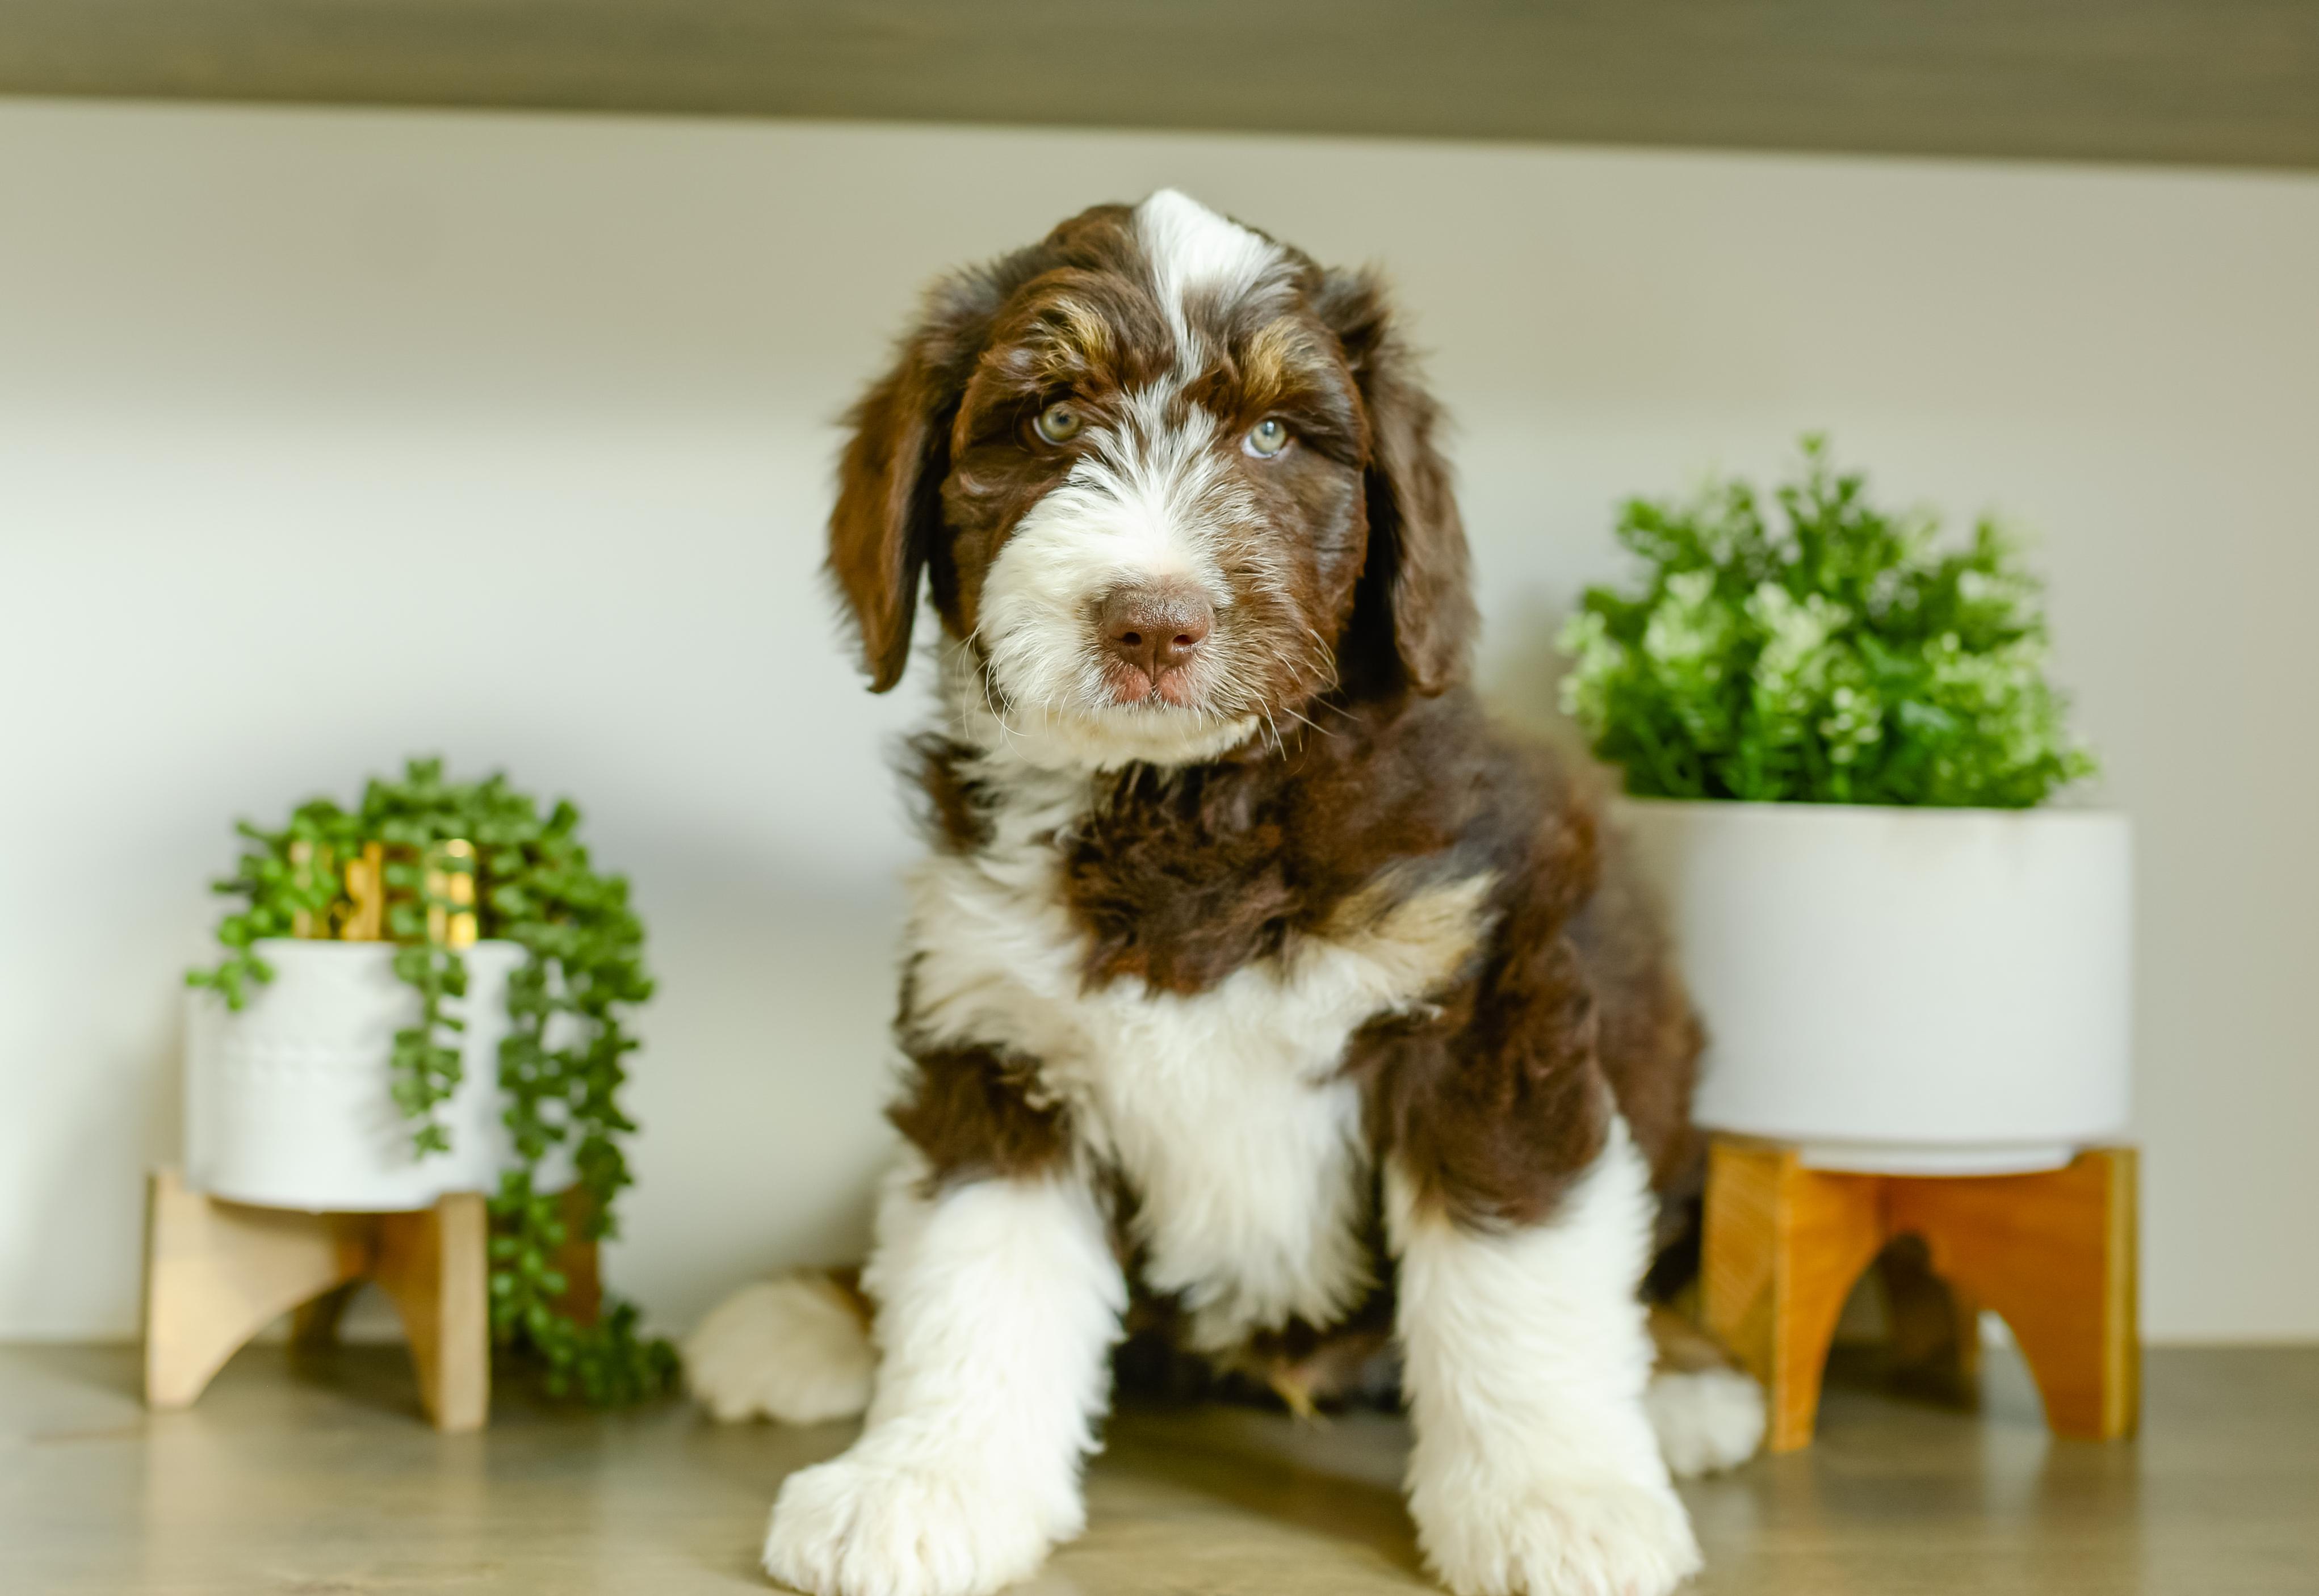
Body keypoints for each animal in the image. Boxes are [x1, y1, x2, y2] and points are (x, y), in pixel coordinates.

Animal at [687, 190, 1764, 1596]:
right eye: (1050, 421)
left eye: (1270, 435)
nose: (1151, 622)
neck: (1182, 809)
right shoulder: (998, 1042)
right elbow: (974, 1273)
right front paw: (924, 1482)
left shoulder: (1483, 1013)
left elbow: (1511, 1263)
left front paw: (1558, 1501)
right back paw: (809, 1319)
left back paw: (1684, 1386)